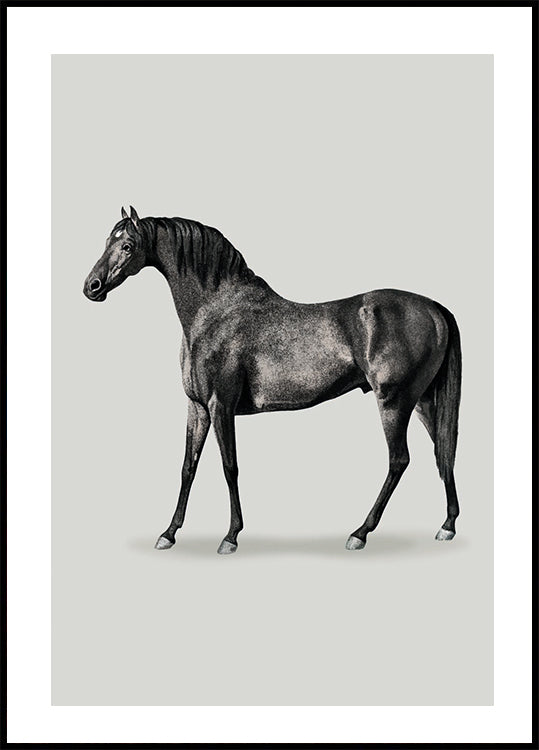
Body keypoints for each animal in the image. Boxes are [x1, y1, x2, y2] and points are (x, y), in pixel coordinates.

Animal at [83, 207, 461, 555]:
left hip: (394, 402)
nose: (92, 287)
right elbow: (188, 467)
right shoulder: (197, 407)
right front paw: (169, 534)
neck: (216, 313)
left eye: (128, 245)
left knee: (399, 461)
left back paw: (360, 533)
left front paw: (231, 537)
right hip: (422, 402)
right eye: (107, 241)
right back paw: (447, 525)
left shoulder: (221, 406)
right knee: (442, 452)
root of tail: (433, 308)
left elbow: (229, 466)